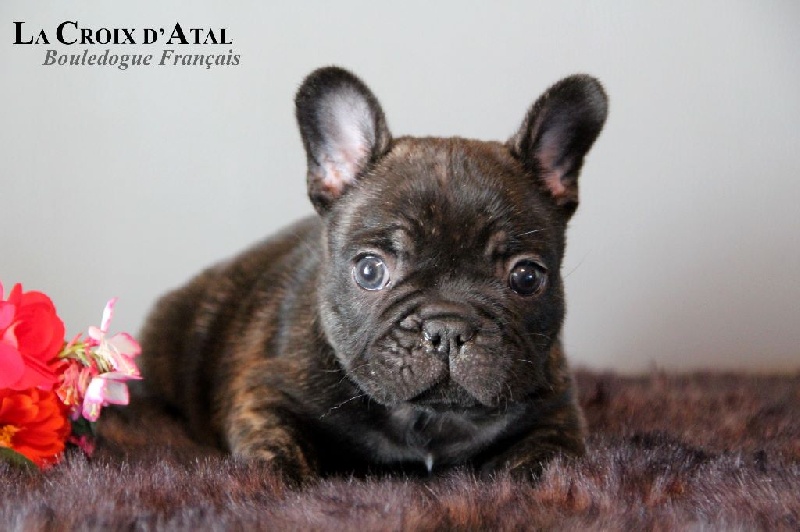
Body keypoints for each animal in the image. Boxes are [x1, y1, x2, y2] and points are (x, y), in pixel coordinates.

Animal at [138, 66, 608, 482]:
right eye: (369, 270)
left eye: (527, 278)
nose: (448, 327)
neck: (429, 417)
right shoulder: (263, 394)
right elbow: (274, 449)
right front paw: (276, 484)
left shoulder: (555, 414)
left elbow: (544, 463)